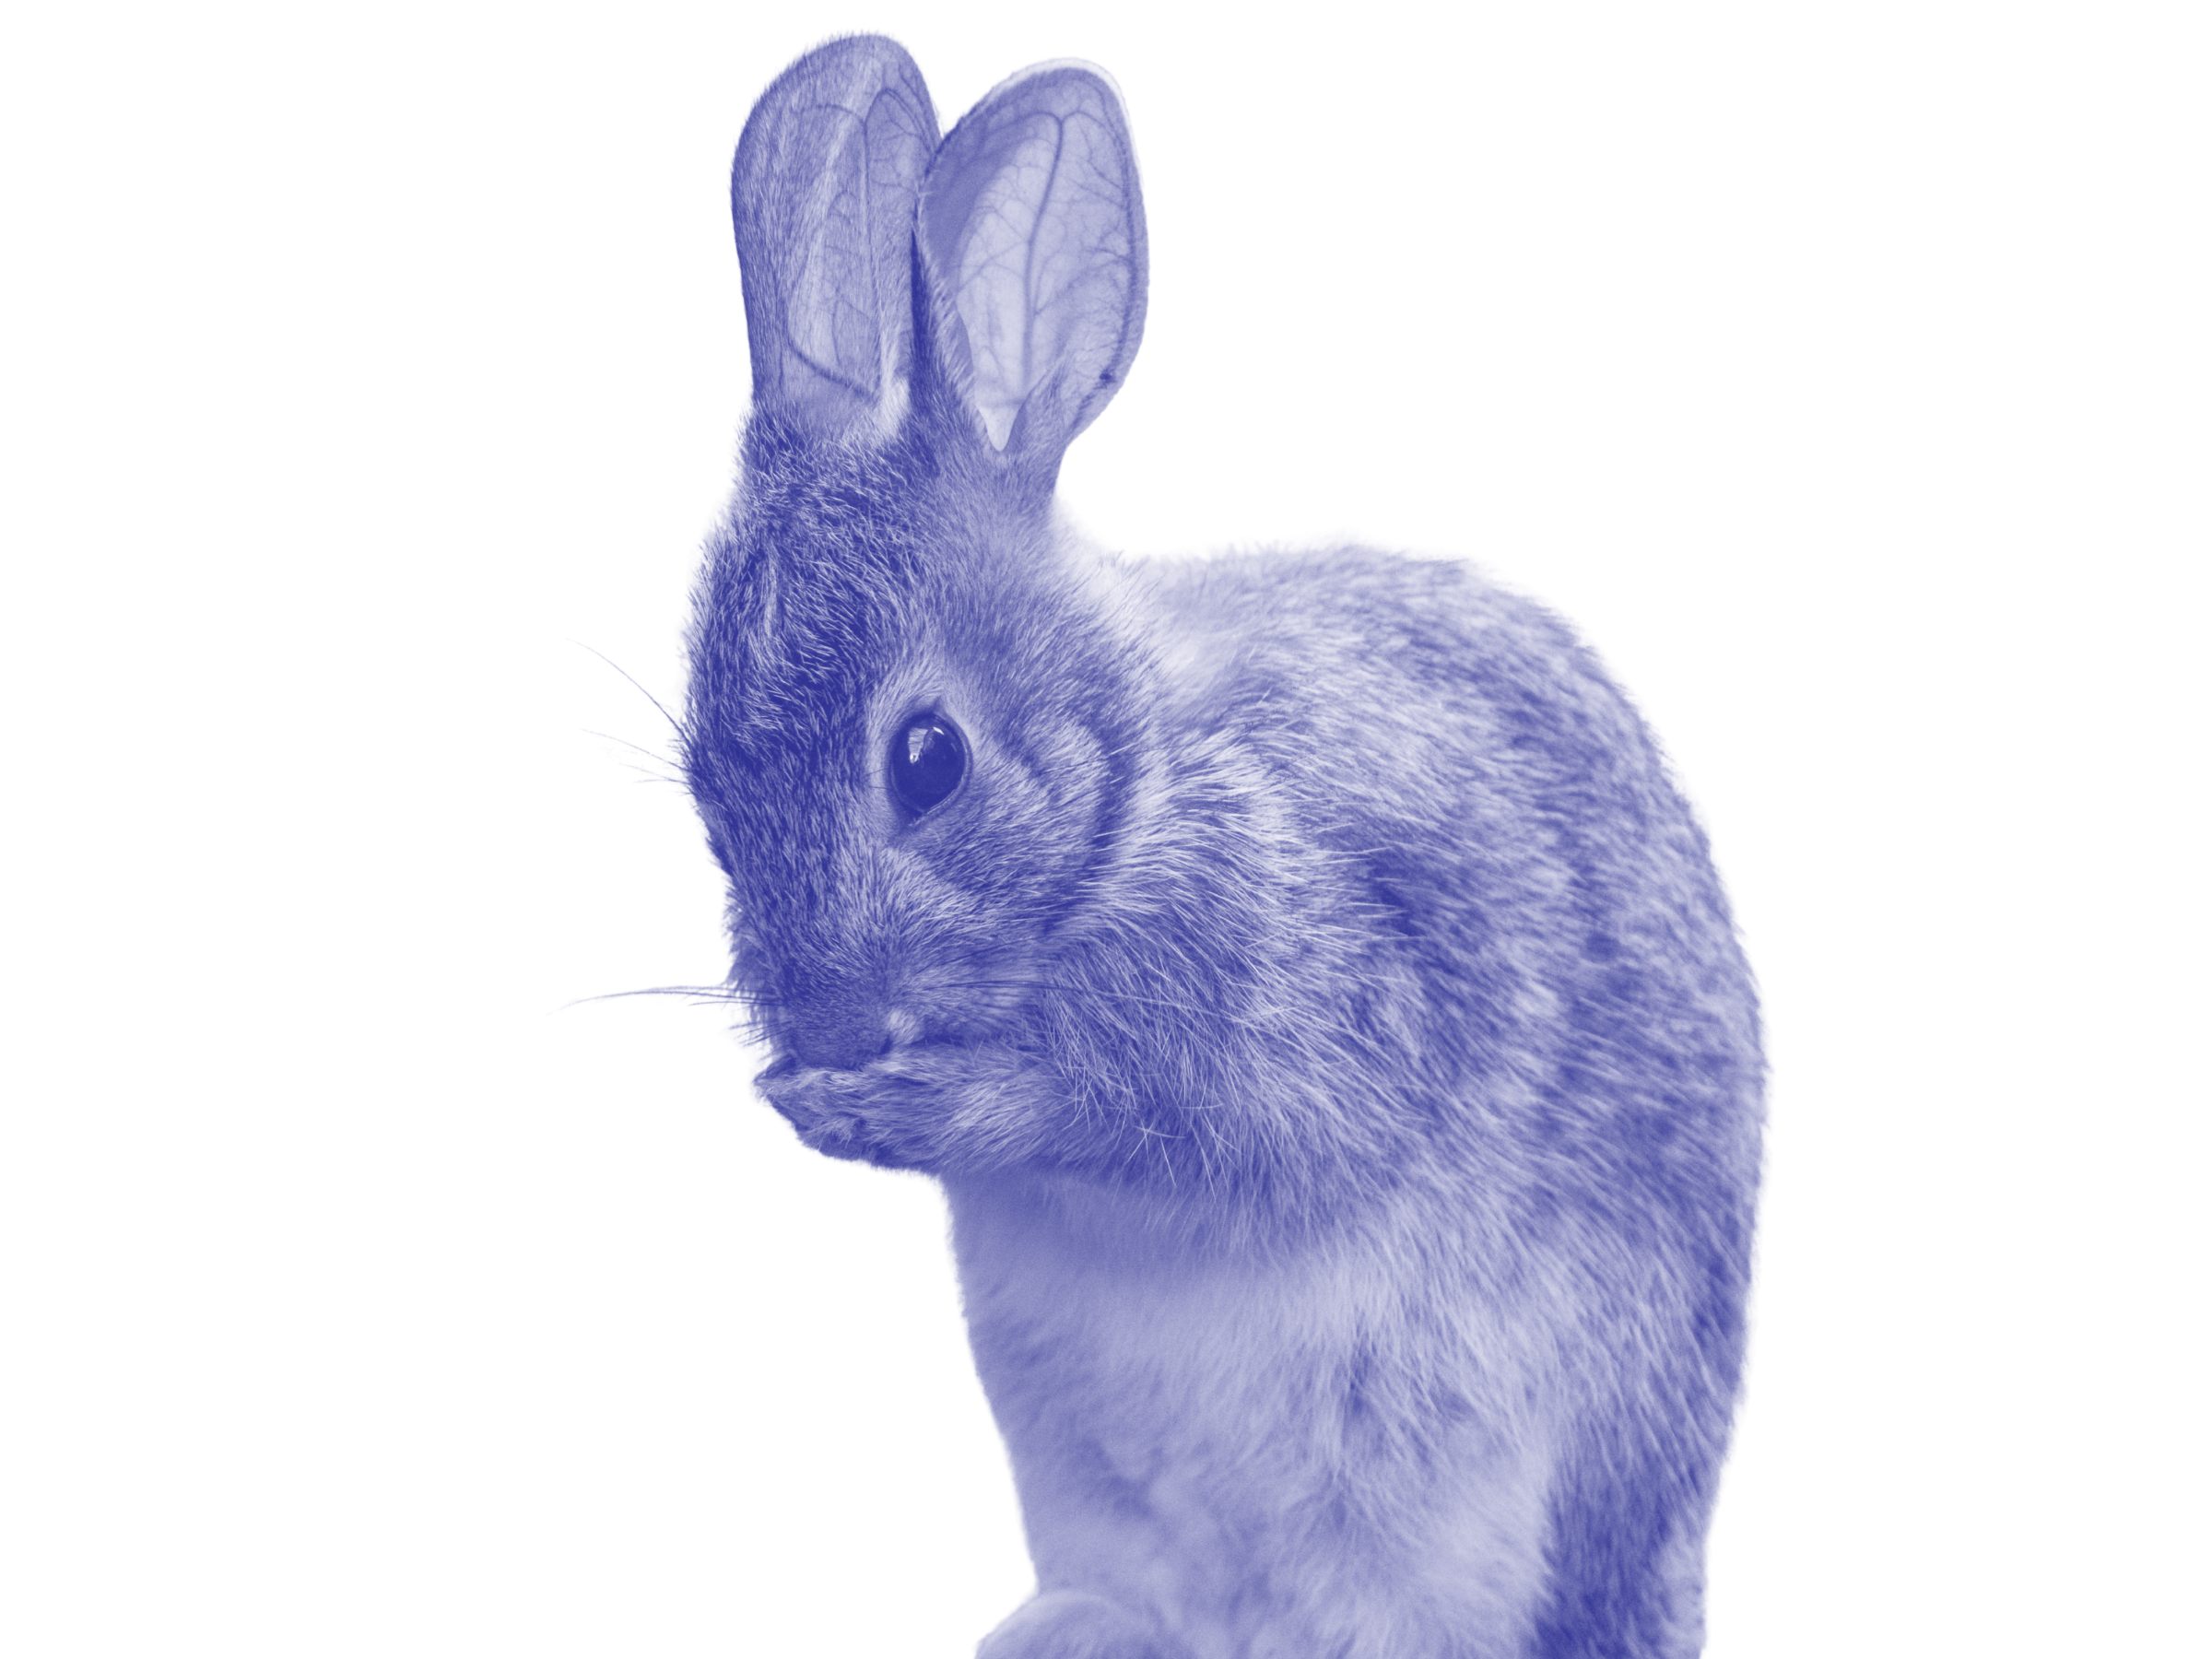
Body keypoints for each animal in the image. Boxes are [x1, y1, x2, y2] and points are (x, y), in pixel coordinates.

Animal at [644, 31, 1774, 1659]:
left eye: (927, 762)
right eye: (695, 775)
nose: (821, 1025)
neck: (1129, 799)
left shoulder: (1330, 984)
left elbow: (1176, 1114)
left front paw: (900, 1103)